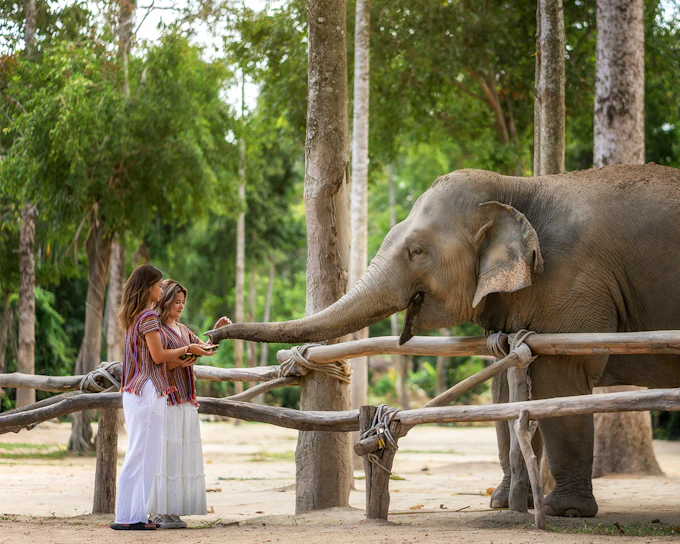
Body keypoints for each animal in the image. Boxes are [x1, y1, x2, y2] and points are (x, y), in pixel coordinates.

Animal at [208, 163, 680, 517]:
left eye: (417, 251)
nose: (215, 329)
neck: (520, 185)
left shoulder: (574, 281)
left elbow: (560, 381)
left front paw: (564, 511)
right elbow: (505, 384)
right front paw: (502, 503)